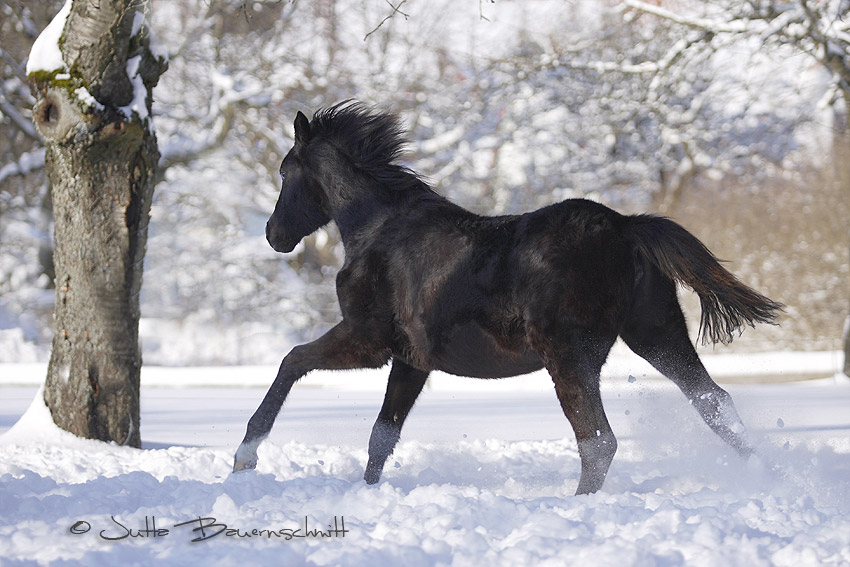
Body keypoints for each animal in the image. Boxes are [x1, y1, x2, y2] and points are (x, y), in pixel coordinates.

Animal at [234, 103, 780, 496]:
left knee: (599, 440)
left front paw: (245, 456)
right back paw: (760, 478)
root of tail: (626, 227)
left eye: (284, 172)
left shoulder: (367, 342)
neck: (377, 231)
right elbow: (381, 436)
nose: (273, 234)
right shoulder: (411, 361)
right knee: (715, 405)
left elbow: (291, 361)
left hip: (570, 355)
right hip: (656, 334)